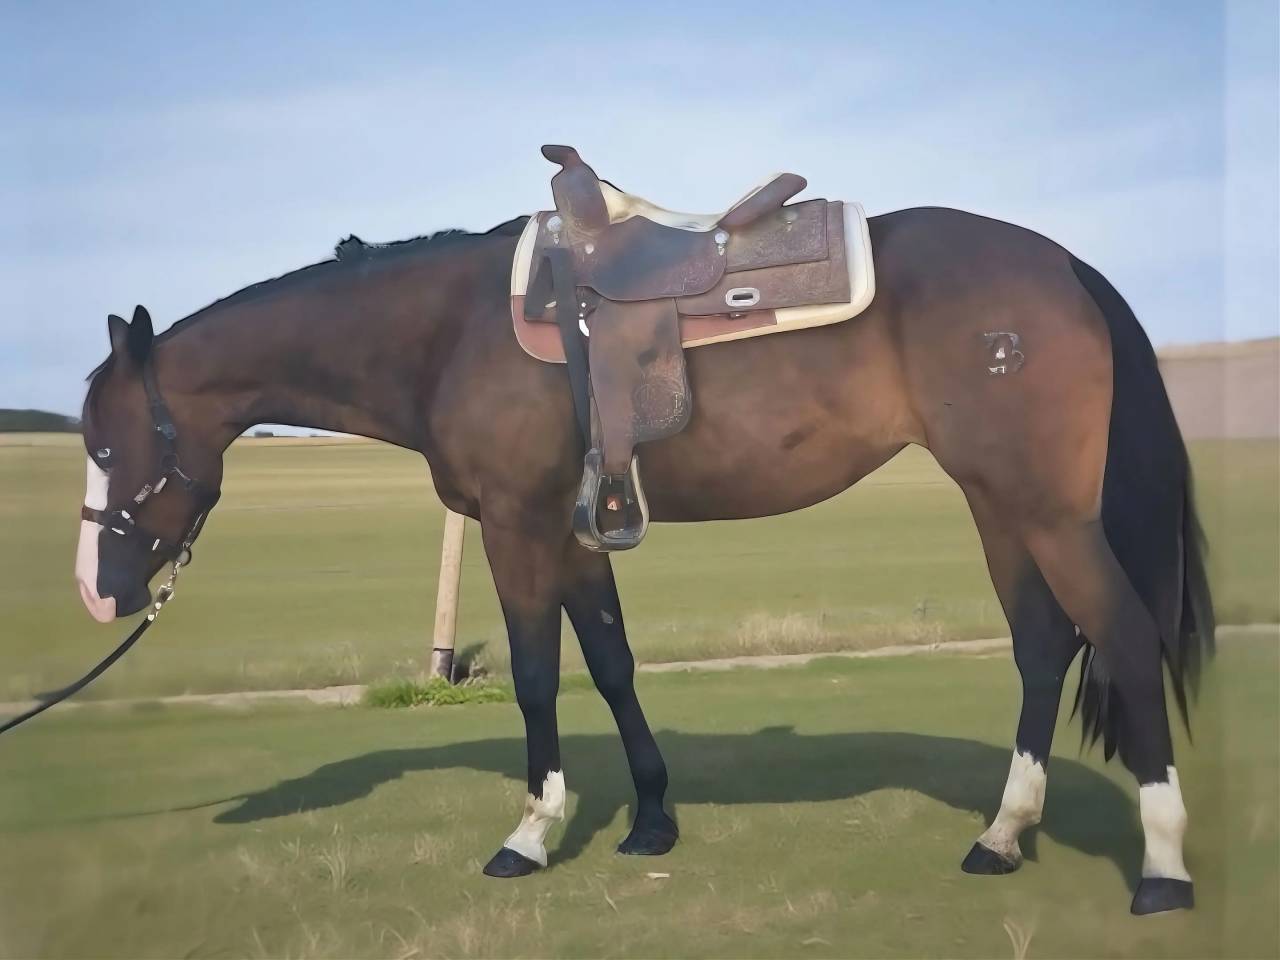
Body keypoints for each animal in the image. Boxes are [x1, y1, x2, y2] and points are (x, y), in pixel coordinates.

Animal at [74, 203, 1213, 916]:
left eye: (105, 443)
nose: (96, 591)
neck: (449, 331)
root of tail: (1062, 265)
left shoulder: (516, 526)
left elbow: (538, 677)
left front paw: (531, 834)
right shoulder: (575, 533)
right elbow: (612, 664)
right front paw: (652, 819)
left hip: (1043, 509)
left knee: (1118, 633)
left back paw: (1161, 866)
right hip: (998, 504)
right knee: (1043, 645)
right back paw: (1001, 835)